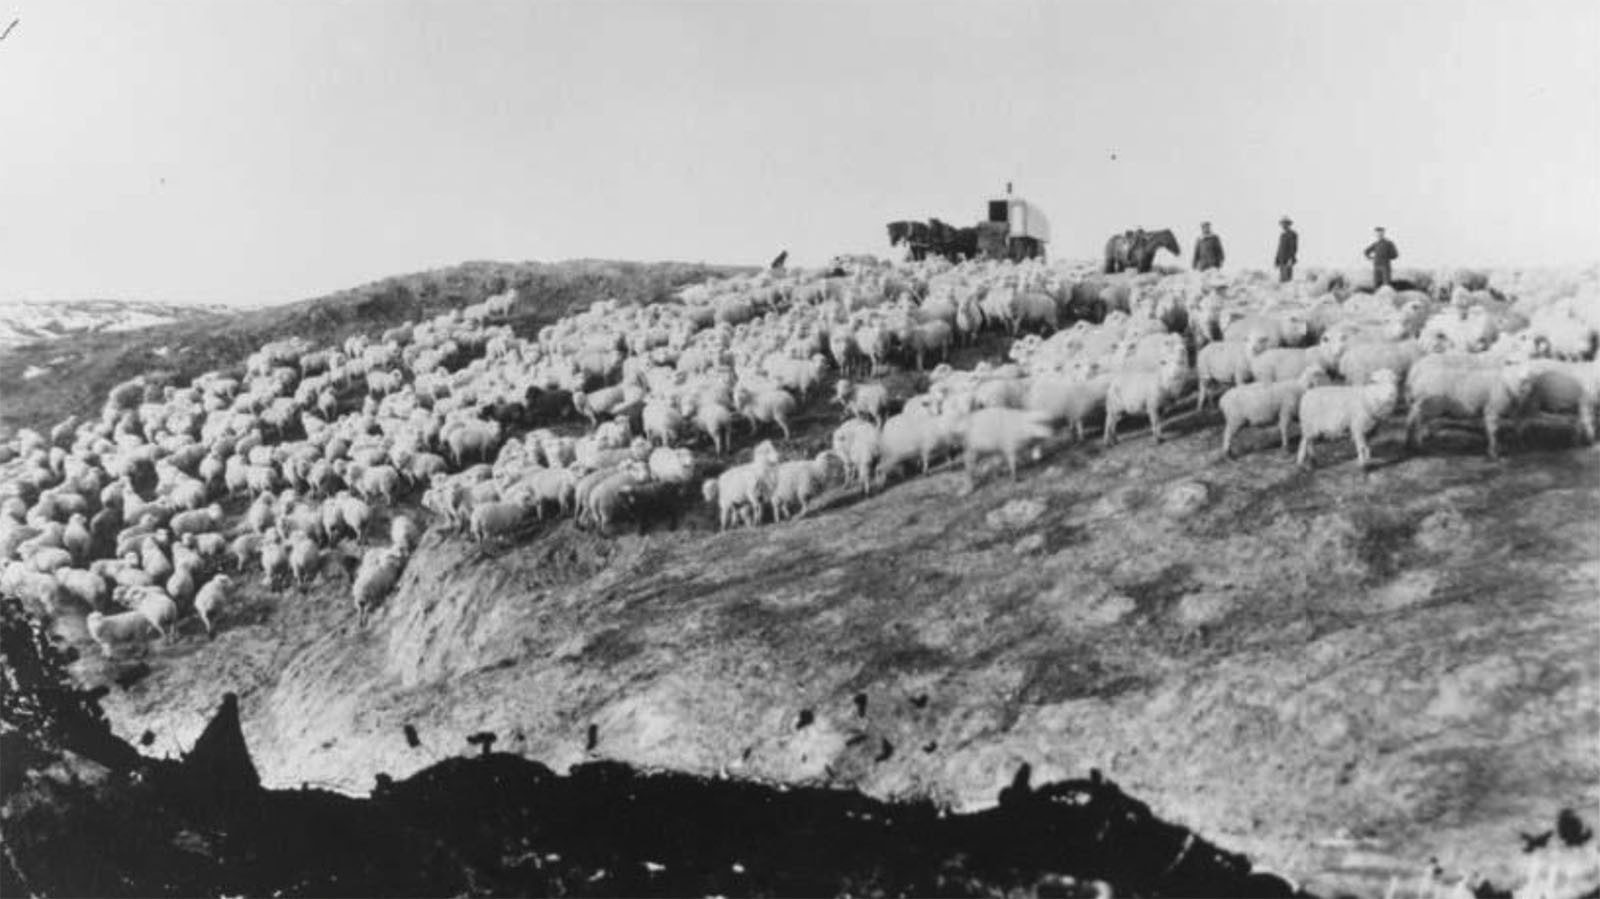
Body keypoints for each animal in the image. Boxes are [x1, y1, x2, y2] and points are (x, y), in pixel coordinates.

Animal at [1401, 355, 1536, 457]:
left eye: (1529, 364)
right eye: (1514, 363)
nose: (1526, 378)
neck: (1505, 381)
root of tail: (1415, 374)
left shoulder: (1515, 410)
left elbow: (1519, 428)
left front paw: (1521, 445)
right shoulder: (1492, 409)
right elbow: (1494, 431)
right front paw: (1493, 452)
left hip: (1420, 404)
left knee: (1412, 418)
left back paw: (1410, 442)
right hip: (1428, 405)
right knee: (1417, 420)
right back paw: (1418, 443)